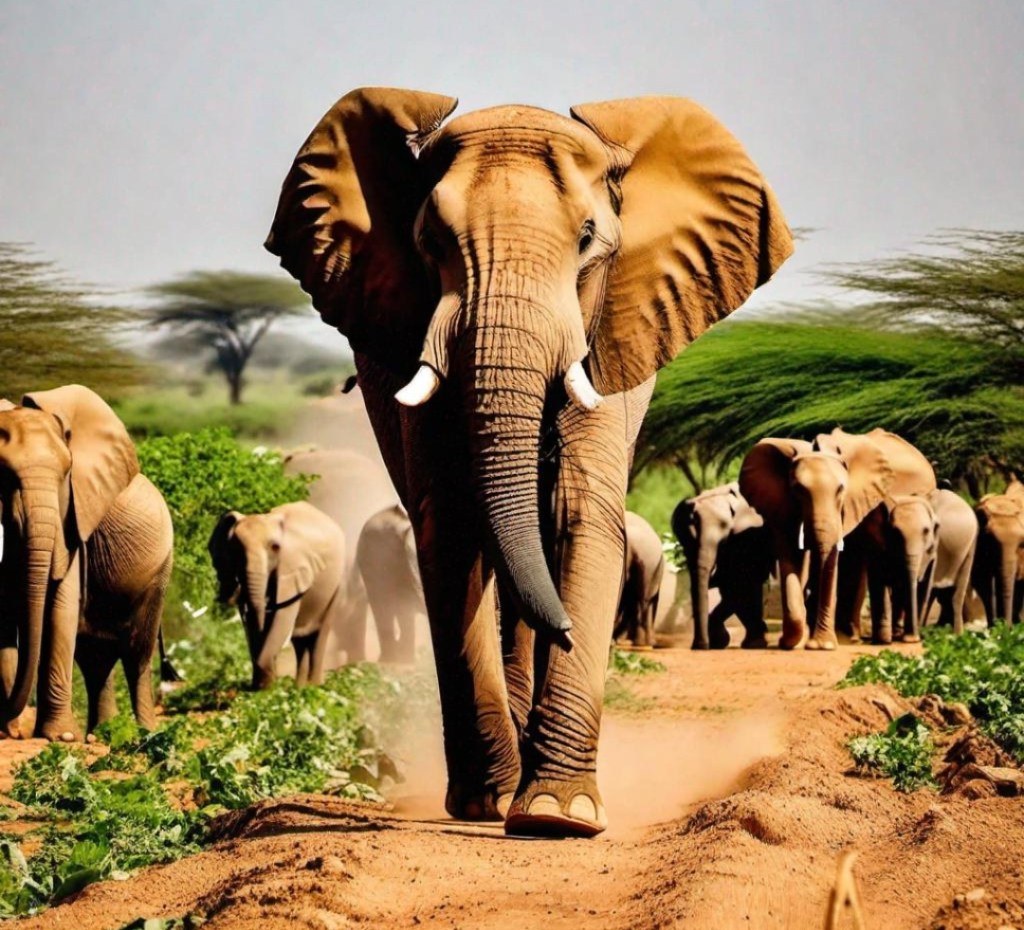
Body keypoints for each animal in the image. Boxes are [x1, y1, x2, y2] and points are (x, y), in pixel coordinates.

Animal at [0, 385, 174, 740]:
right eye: (2, 474)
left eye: (67, 473)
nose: (15, 731)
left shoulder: (71, 522)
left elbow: (60, 608)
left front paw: (61, 738)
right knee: (96, 657)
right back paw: (102, 733)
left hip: (160, 571)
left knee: (136, 654)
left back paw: (144, 735)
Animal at [209, 501, 347, 689]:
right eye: (234, 550)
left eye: (275, 547)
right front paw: (261, 688)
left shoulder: (292, 566)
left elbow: (280, 618)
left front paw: (265, 689)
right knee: (299, 639)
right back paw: (299, 687)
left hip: (337, 583)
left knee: (319, 635)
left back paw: (314, 687)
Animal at [671, 482, 771, 650]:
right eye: (685, 541)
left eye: (724, 526)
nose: (697, 647)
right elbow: (731, 584)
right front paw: (721, 641)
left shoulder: (751, 536)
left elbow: (740, 583)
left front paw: (753, 643)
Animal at [739, 429, 935, 650]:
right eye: (797, 489)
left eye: (841, 489)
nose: (783, 641)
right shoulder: (779, 503)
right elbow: (790, 556)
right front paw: (795, 642)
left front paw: (822, 646)